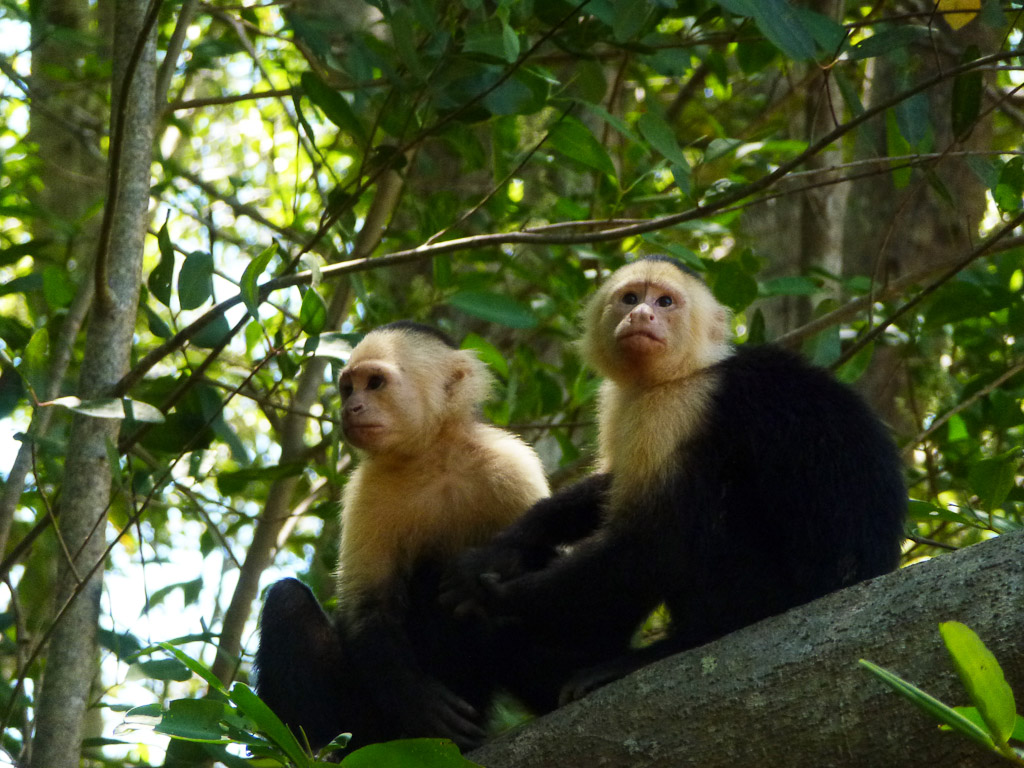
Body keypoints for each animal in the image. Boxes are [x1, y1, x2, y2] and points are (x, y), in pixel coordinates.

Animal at [254, 321, 550, 753]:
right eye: (348, 388)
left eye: (375, 383)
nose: (350, 408)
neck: (433, 457)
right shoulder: (368, 489)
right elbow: (368, 609)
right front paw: (420, 703)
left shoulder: (512, 467)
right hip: (364, 724)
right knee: (288, 600)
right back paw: (316, 751)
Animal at [442, 256, 907, 706]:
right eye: (630, 298)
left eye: (665, 302)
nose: (642, 315)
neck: (681, 374)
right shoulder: (625, 404)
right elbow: (613, 484)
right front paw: (507, 545)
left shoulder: (677, 409)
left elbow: (653, 543)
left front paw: (501, 597)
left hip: (773, 593)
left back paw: (677, 645)